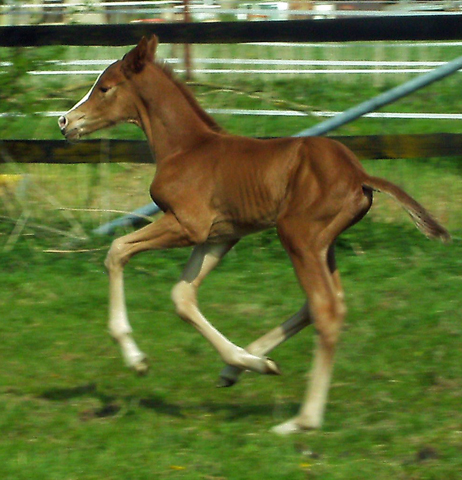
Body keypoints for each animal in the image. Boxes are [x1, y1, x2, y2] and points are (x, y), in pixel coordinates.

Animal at [59, 36, 450, 436]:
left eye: (105, 87)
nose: (65, 121)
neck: (187, 147)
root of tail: (359, 174)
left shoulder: (187, 224)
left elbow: (117, 250)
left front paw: (136, 358)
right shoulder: (219, 236)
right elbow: (182, 296)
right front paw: (243, 363)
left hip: (298, 235)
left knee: (325, 308)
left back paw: (302, 420)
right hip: (324, 245)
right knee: (324, 303)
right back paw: (245, 367)